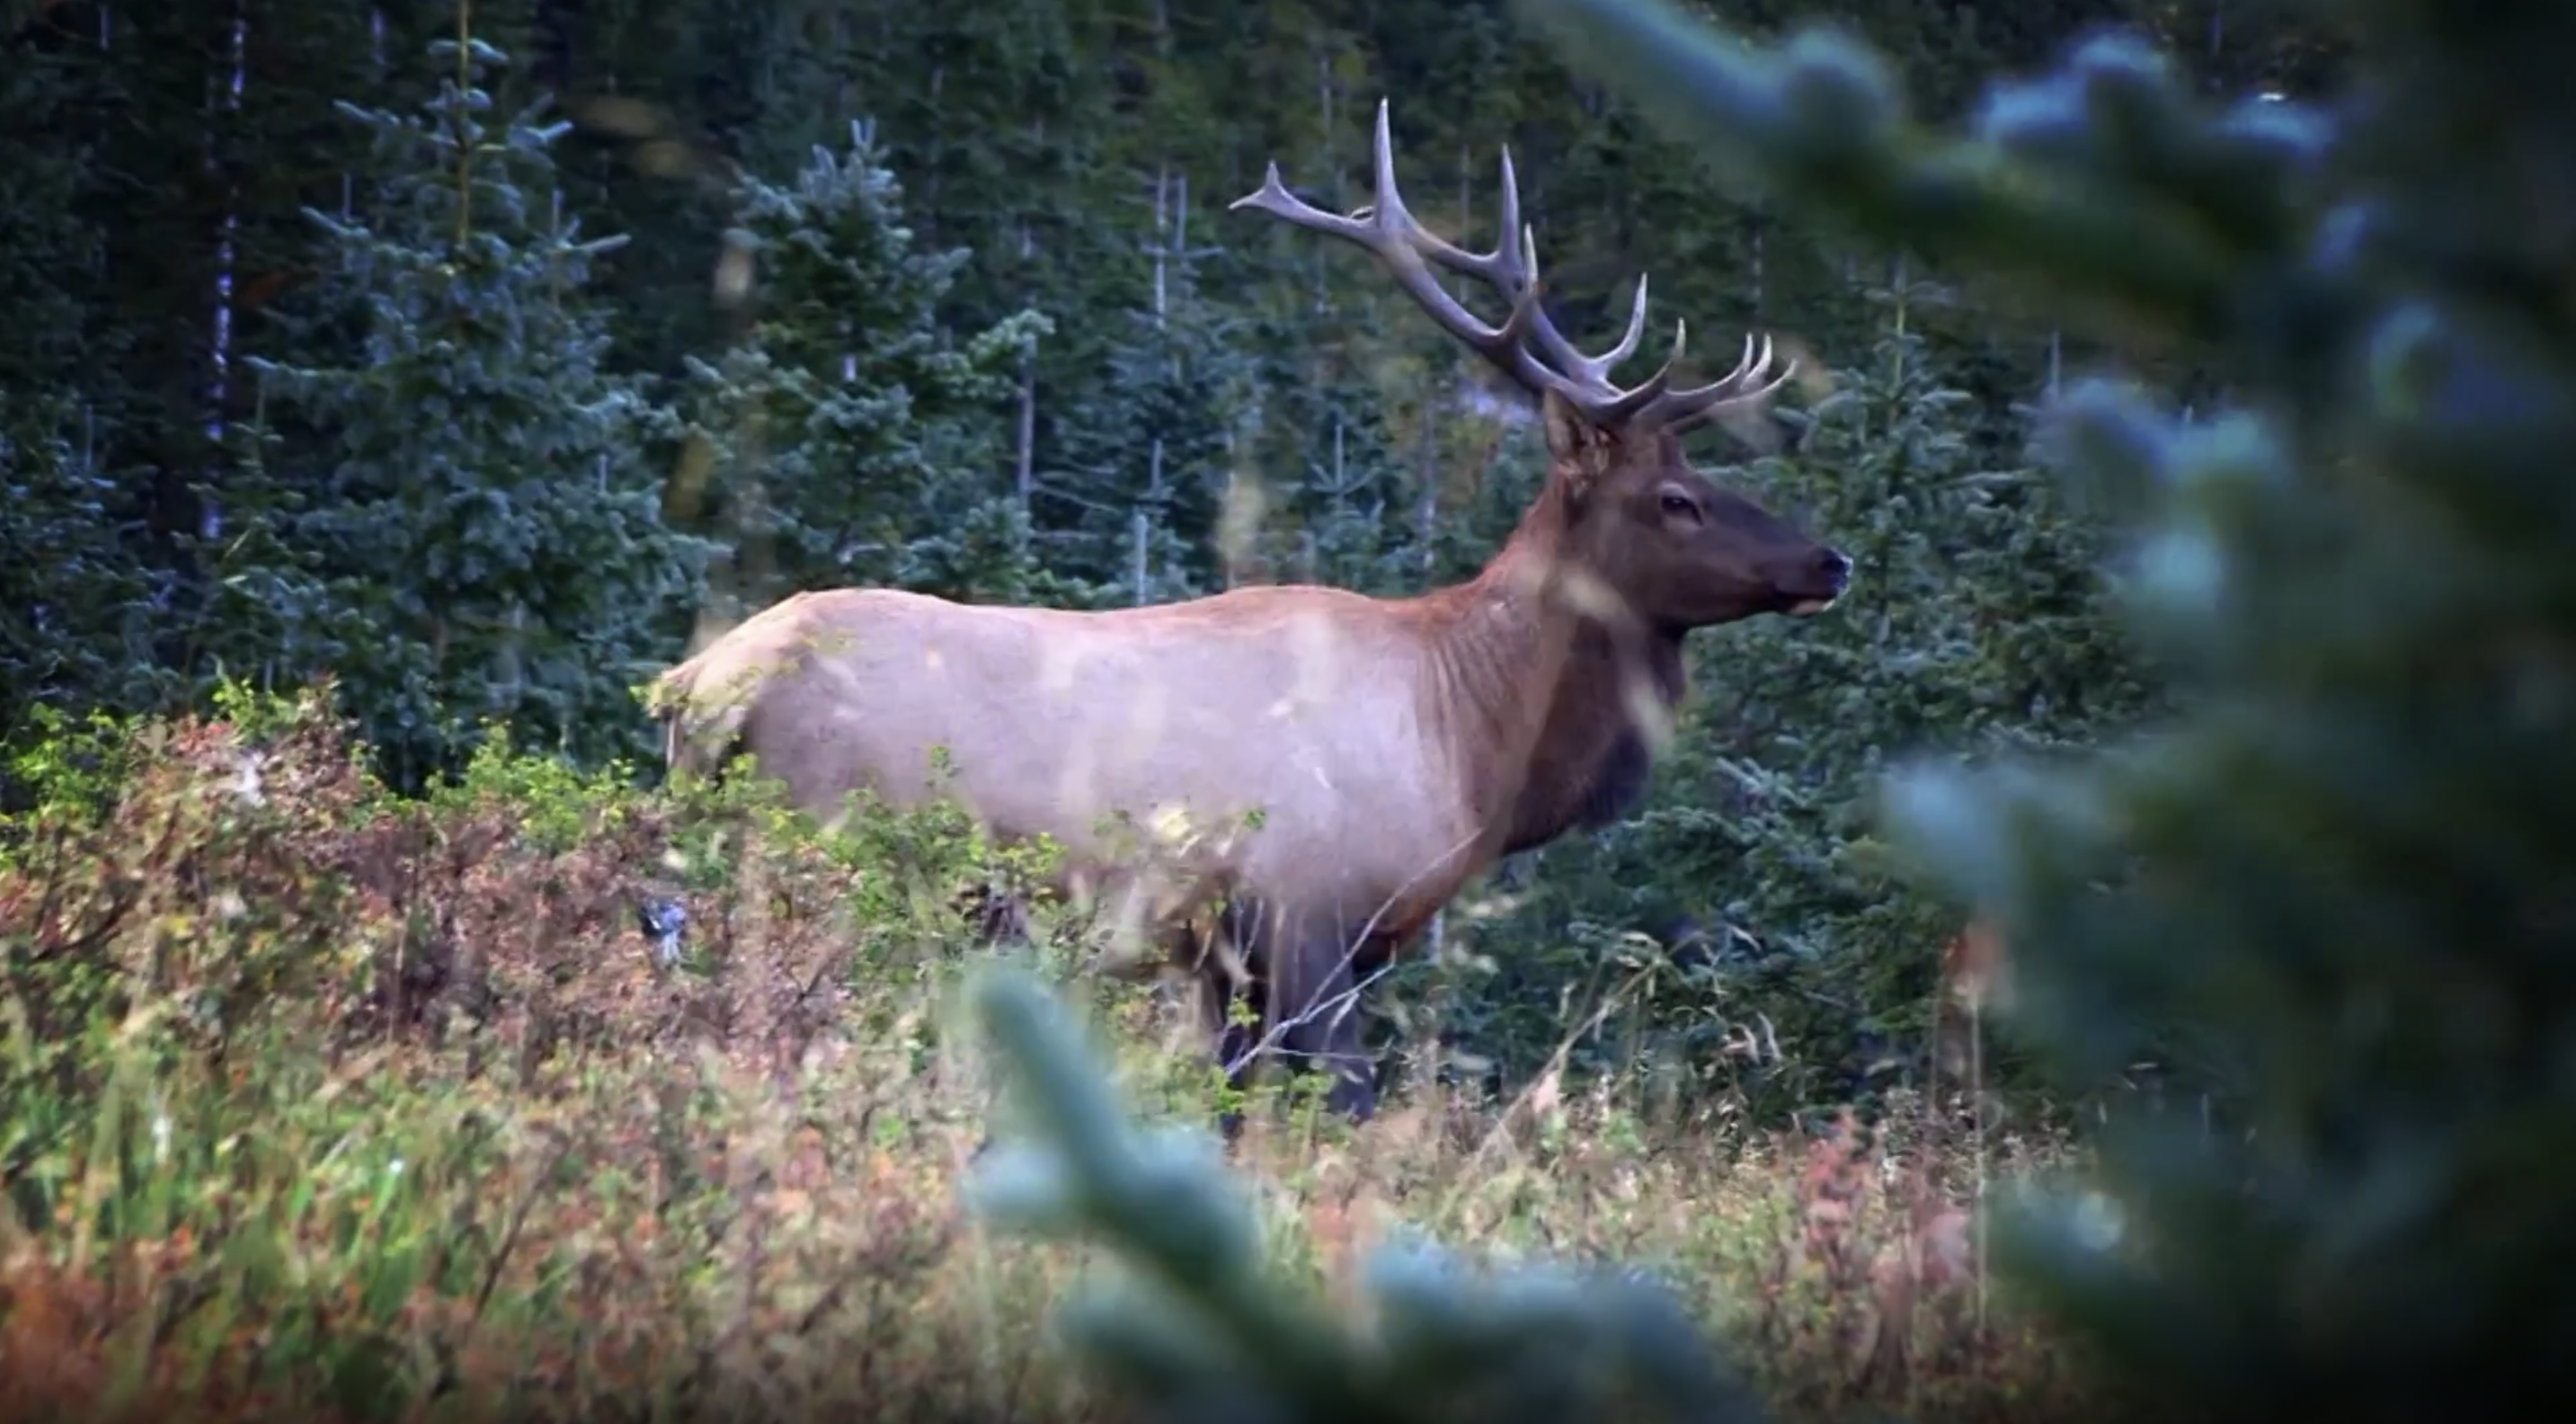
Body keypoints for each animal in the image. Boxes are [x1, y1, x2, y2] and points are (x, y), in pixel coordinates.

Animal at [650, 100, 1851, 1126]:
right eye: (1677, 499)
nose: (1830, 559)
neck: (1467, 742)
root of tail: (698, 688)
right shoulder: (1308, 914)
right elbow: (1344, 1105)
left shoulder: (1226, 956)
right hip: (824, 855)